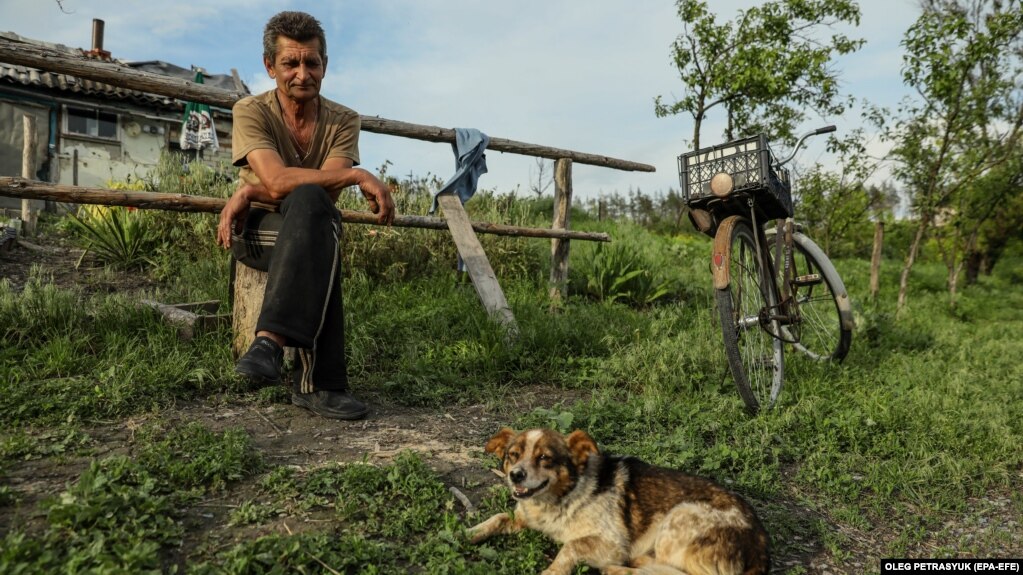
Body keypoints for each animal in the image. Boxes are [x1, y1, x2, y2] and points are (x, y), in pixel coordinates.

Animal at [466, 423, 769, 572]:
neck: (566, 494)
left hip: (678, 518)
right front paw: (465, 533)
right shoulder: (523, 517)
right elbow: (498, 517)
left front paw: (551, 572)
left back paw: (620, 569)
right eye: (513, 455)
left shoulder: (613, 544)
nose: (515, 475)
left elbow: (571, 546)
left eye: (544, 458)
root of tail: (761, 544)